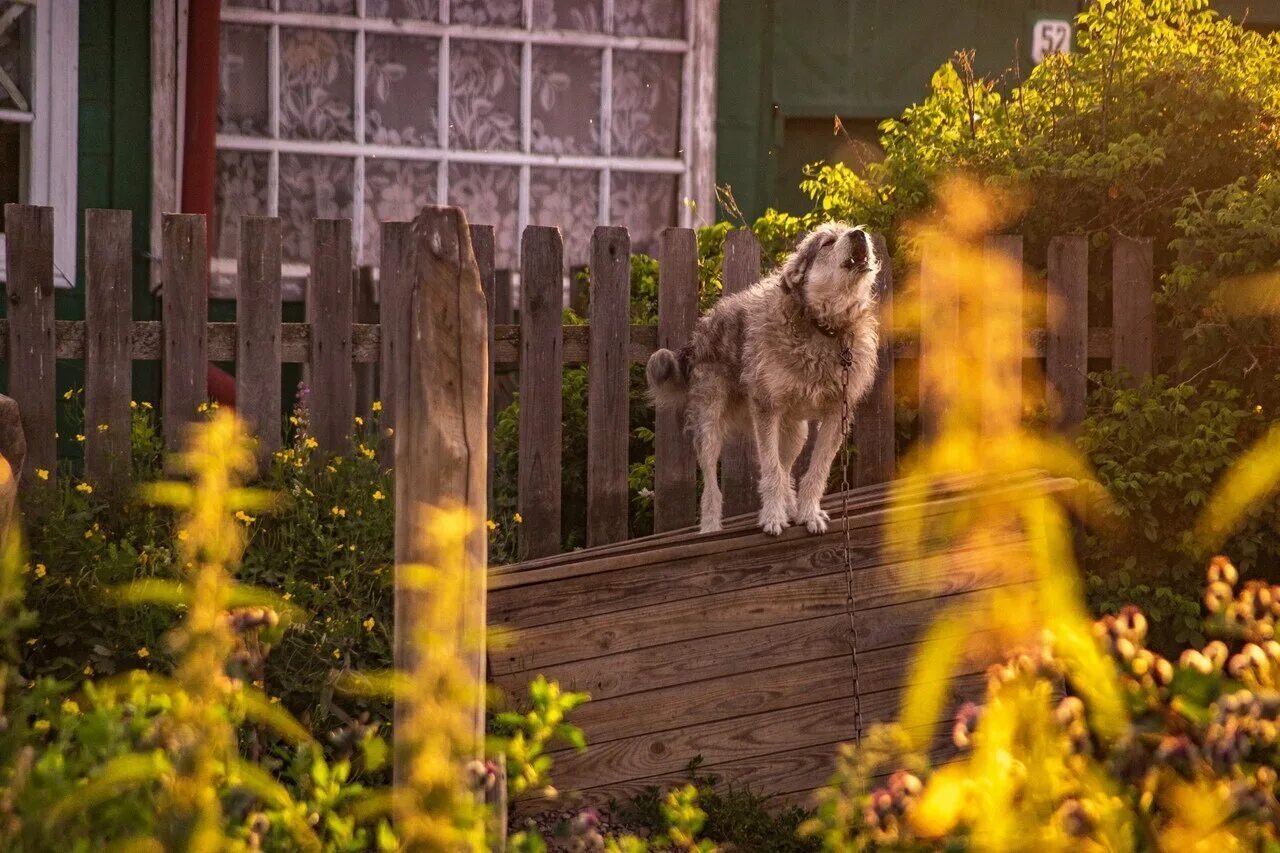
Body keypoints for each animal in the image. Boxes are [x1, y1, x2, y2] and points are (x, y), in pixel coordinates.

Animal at [650, 222, 880, 535]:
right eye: (827, 242)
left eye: (851, 230)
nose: (859, 233)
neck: (822, 329)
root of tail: (701, 329)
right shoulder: (766, 409)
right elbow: (771, 471)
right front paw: (772, 517)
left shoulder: (837, 414)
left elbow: (814, 472)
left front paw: (808, 513)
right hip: (709, 426)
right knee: (711, 486)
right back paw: (710, 528)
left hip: (796, 432)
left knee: (787, 469)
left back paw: (791, 506)